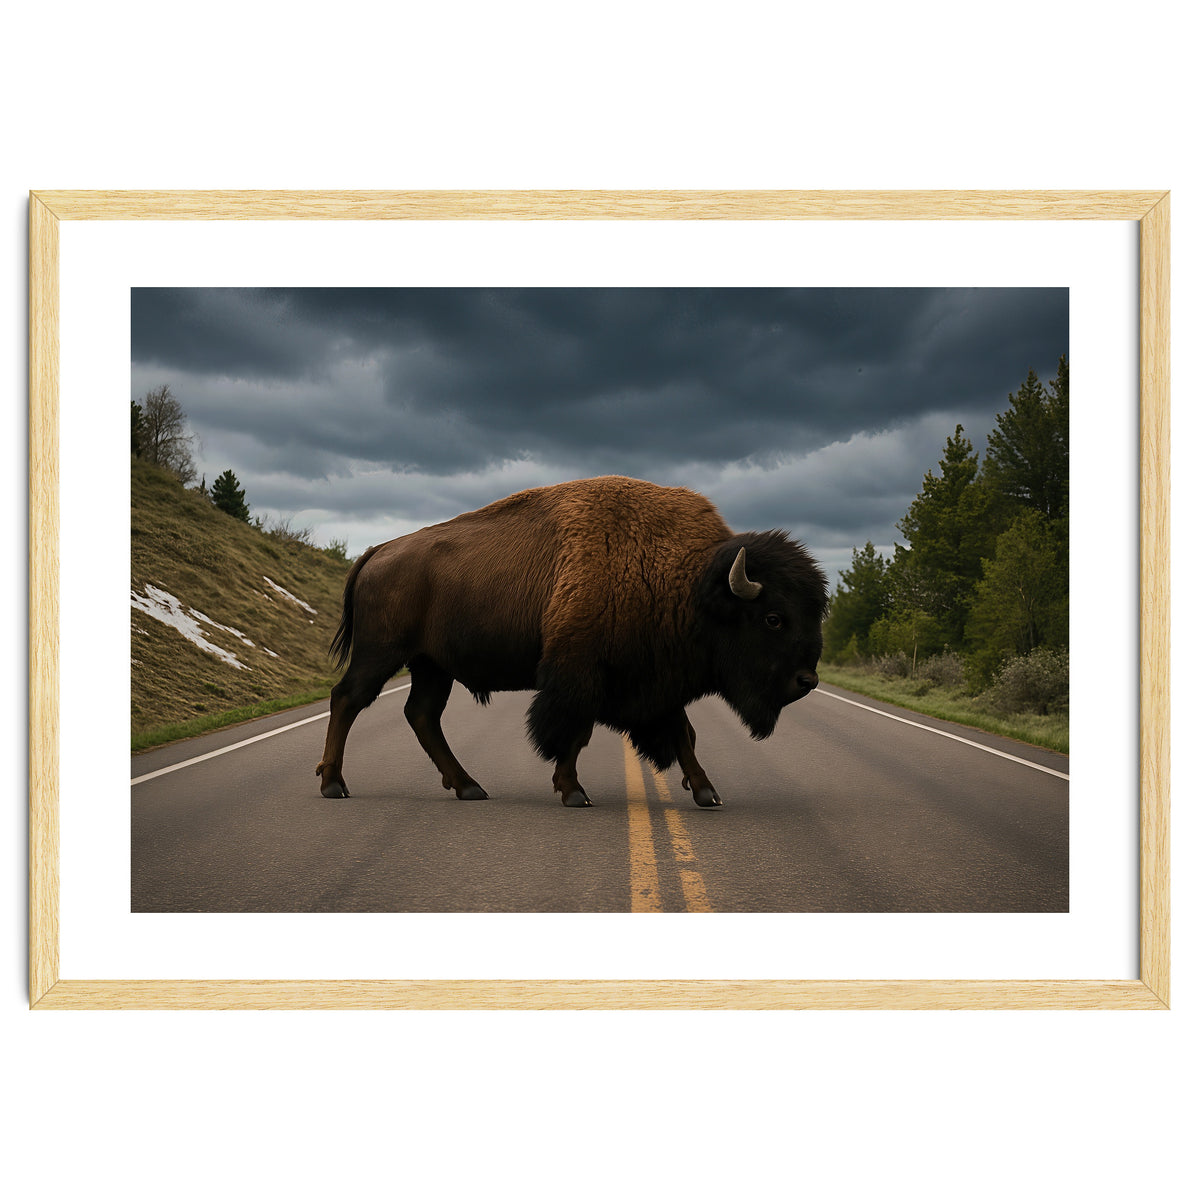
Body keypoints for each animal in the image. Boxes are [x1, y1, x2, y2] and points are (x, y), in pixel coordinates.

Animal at [316, 476, 828, 807]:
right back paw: (333, 785)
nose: (807, 680)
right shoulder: (581, 675)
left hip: (431, 666)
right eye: (774, 618)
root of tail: (378, 550)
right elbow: (574, 732)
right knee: (347, 698)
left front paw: (707, 792)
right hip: (383, 653)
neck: (689, 582)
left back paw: (469, 787)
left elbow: (682, 732)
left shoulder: (654, 682)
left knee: (421, 715)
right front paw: (573, 791)